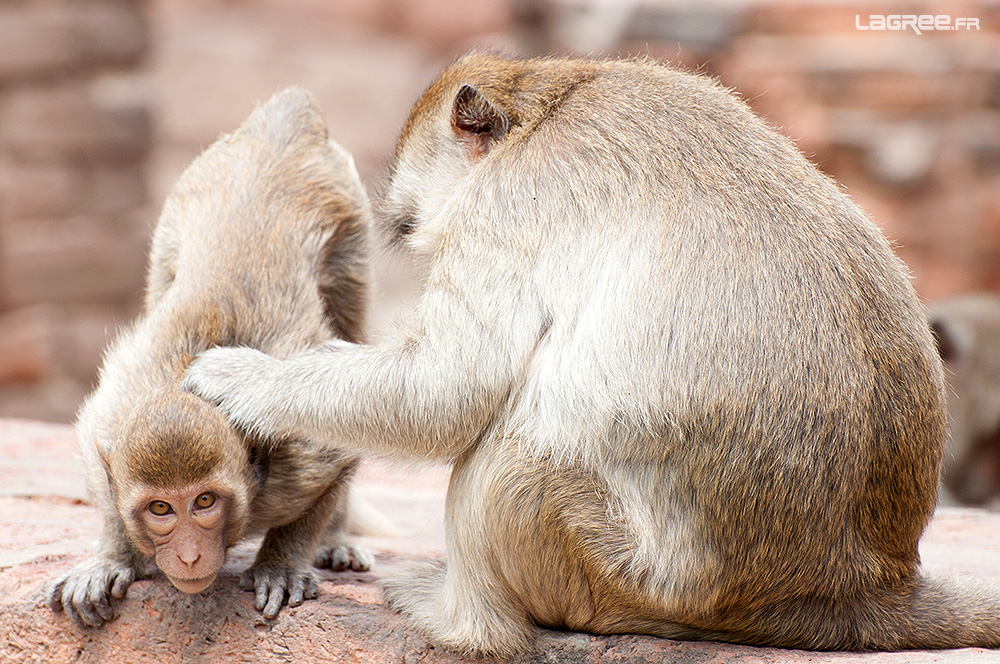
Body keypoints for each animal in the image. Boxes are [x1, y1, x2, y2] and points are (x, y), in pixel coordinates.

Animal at [50, 88, 374, 628]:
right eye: (160, 509)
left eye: (204, 501)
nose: (188, 556)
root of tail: (280, 123)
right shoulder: (109, 420)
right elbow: (106, 475)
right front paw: (112, 557)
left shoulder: (300, 454)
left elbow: (339, 451)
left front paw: (283, 561)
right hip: (180, 207)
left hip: (351, 225)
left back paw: (335, 541)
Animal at [184, 53, 1000, 652]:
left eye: (414, 226)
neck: (552, 101)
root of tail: (858, 588)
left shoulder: (504, 209)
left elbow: (448, 390)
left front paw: (244, 378)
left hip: (618, 575)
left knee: (508, 454)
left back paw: (464, 622)